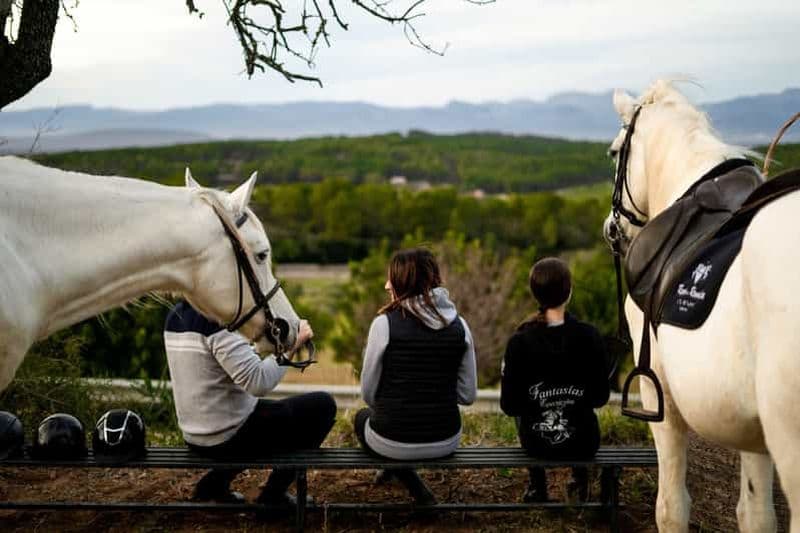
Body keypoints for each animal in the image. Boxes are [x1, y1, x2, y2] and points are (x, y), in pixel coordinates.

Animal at [603, 80, 800, 532]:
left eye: (614, 152)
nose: (610, 227)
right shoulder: (753, 426)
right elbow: (755, 515)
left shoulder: (658, 394)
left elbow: (671, 507)